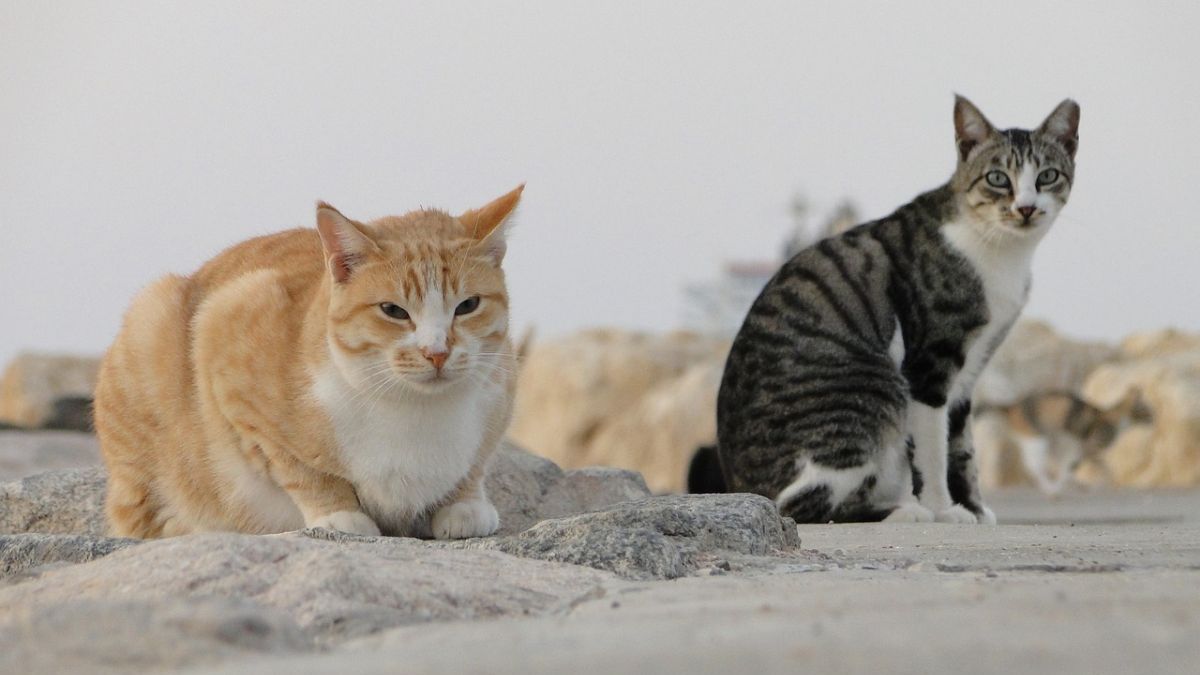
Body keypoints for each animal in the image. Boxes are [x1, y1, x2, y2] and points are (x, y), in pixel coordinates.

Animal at [93, 186, 525, 538]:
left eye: (467, 306)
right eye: (393, 311)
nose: (436, 352)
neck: (416, 411)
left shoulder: (501, 392)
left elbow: (475, 464)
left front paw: (465, 505)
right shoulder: (227, 331)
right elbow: (300, 468)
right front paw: (338, 513)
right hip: (150, 318)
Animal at [700, 96, 1080, 526]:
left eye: (1047, 176)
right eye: (998, 178)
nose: (1026, 208)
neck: (1000, 250)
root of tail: (744, 487)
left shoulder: (969, 371)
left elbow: (963, 448)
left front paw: (975, 508)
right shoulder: (930, 367)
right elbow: (933, 453)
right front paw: (944, 510)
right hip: (875, 388)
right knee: (803, 504)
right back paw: (905, 511)